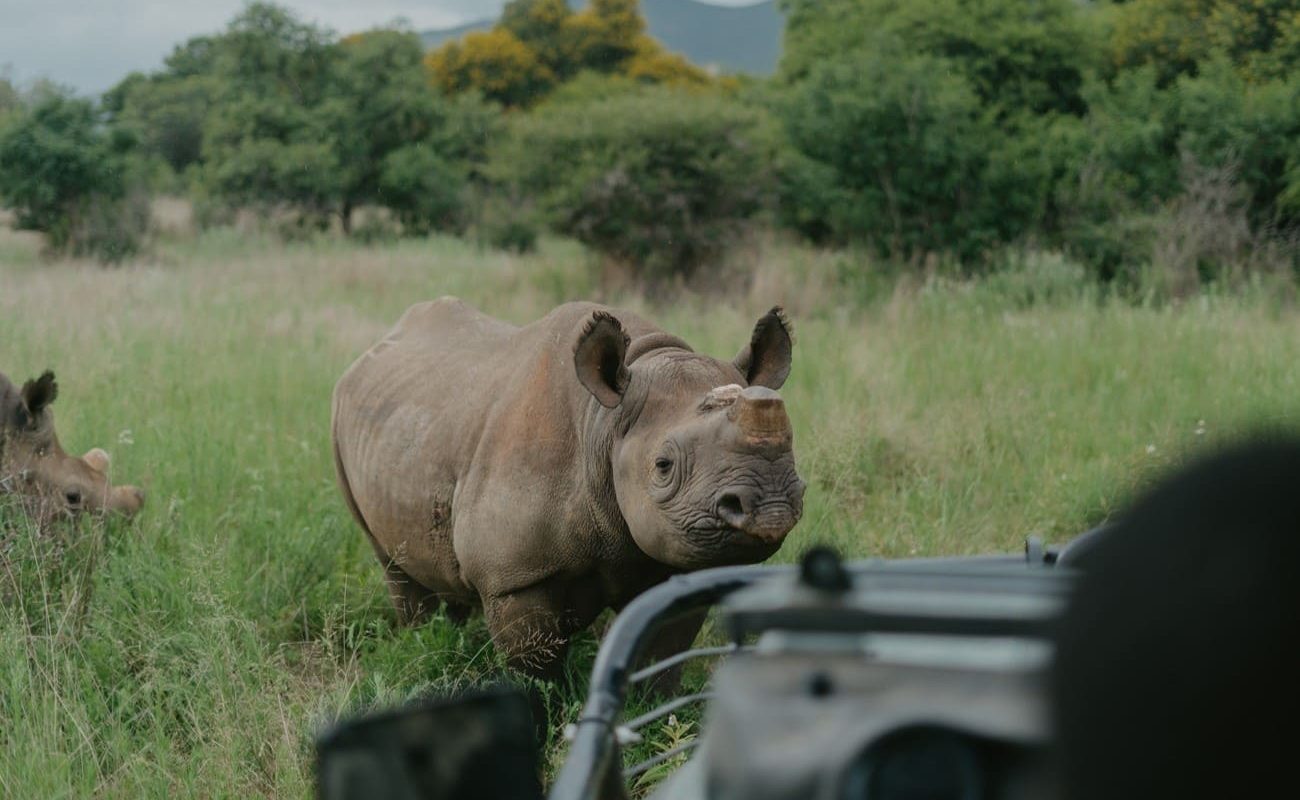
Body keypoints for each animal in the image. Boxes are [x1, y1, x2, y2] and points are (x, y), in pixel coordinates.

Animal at [332, 299, 805, 676]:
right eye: (663, 466)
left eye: (792, 450)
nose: (771, 509)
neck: (606, 424)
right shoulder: (514, 578)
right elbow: (538, 668)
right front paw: (547, 713)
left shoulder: (680, 560)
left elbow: (659, 657)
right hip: (343, 423)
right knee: (391, 563)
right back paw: (421, 638)